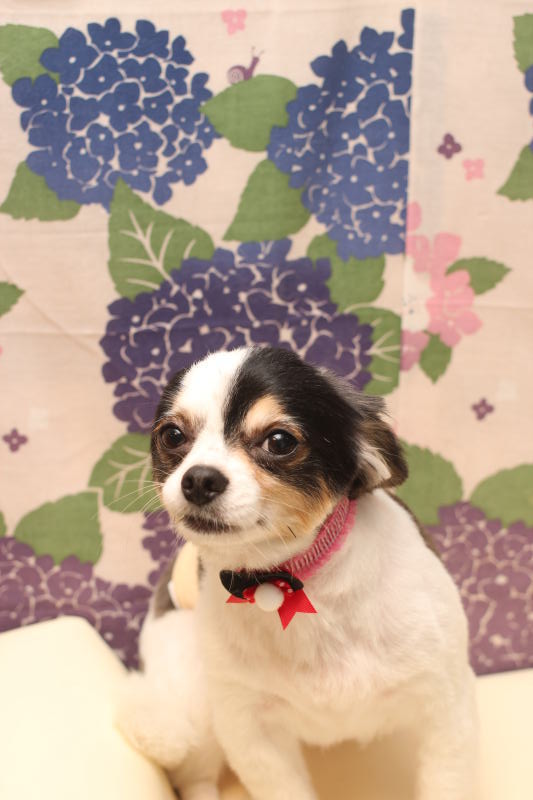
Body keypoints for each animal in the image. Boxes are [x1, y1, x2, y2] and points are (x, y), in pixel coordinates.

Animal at [123, 345, 478, 800]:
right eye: (172, 435)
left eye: (279, 441)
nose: (199, 478)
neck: (288, 580)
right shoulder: (249, 728)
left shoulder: (446, 706)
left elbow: (447, 780)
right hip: (194, 696)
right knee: (191, 771)